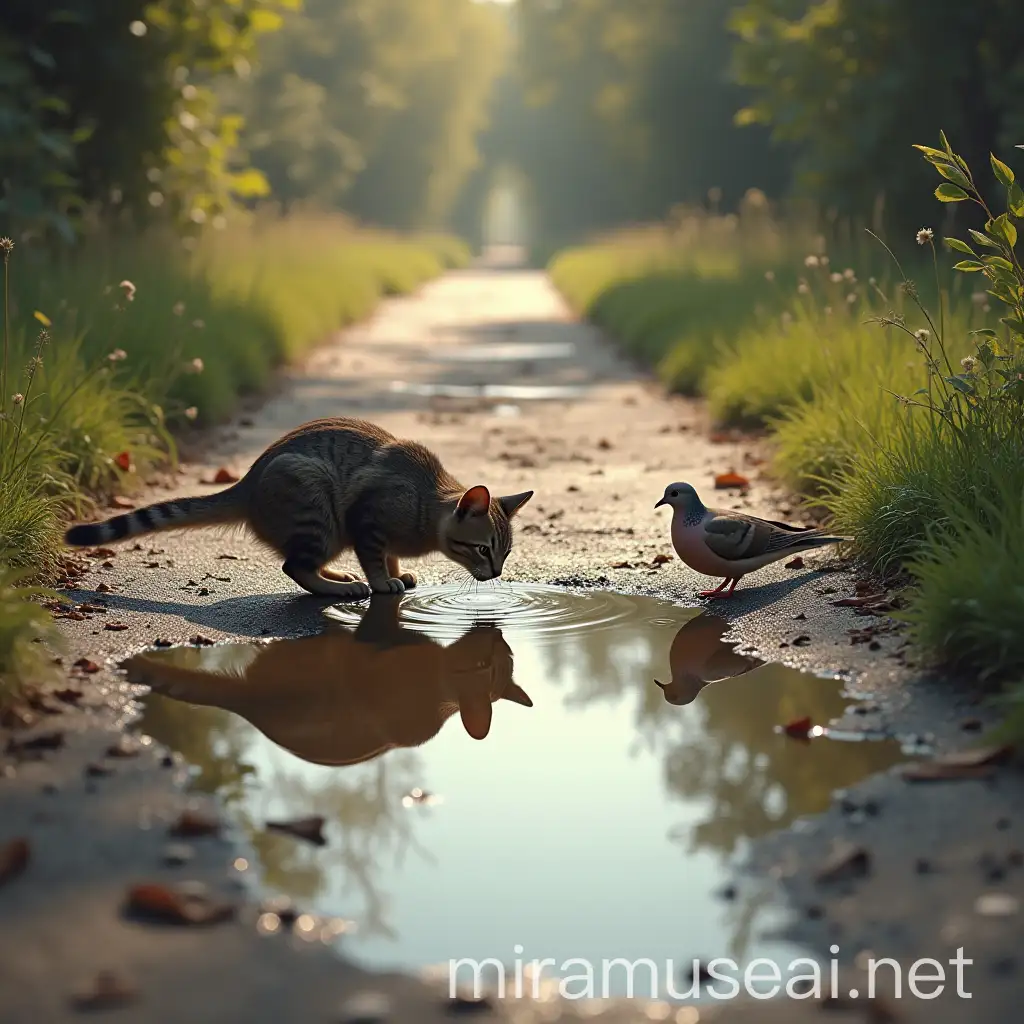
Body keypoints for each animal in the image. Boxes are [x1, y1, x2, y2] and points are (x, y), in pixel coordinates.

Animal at [61, 413, 536, 598]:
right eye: (483, 549)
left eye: (506, 552)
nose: (497, 574)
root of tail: (247, 483)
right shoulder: (368, 521)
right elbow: (376, 557)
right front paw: (383, 580)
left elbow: (390, 556)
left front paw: (398, 571)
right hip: (317, 509)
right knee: (296, 566)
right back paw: (343, 586)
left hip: (327, 531)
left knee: (304, 564)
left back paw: (337, 576)